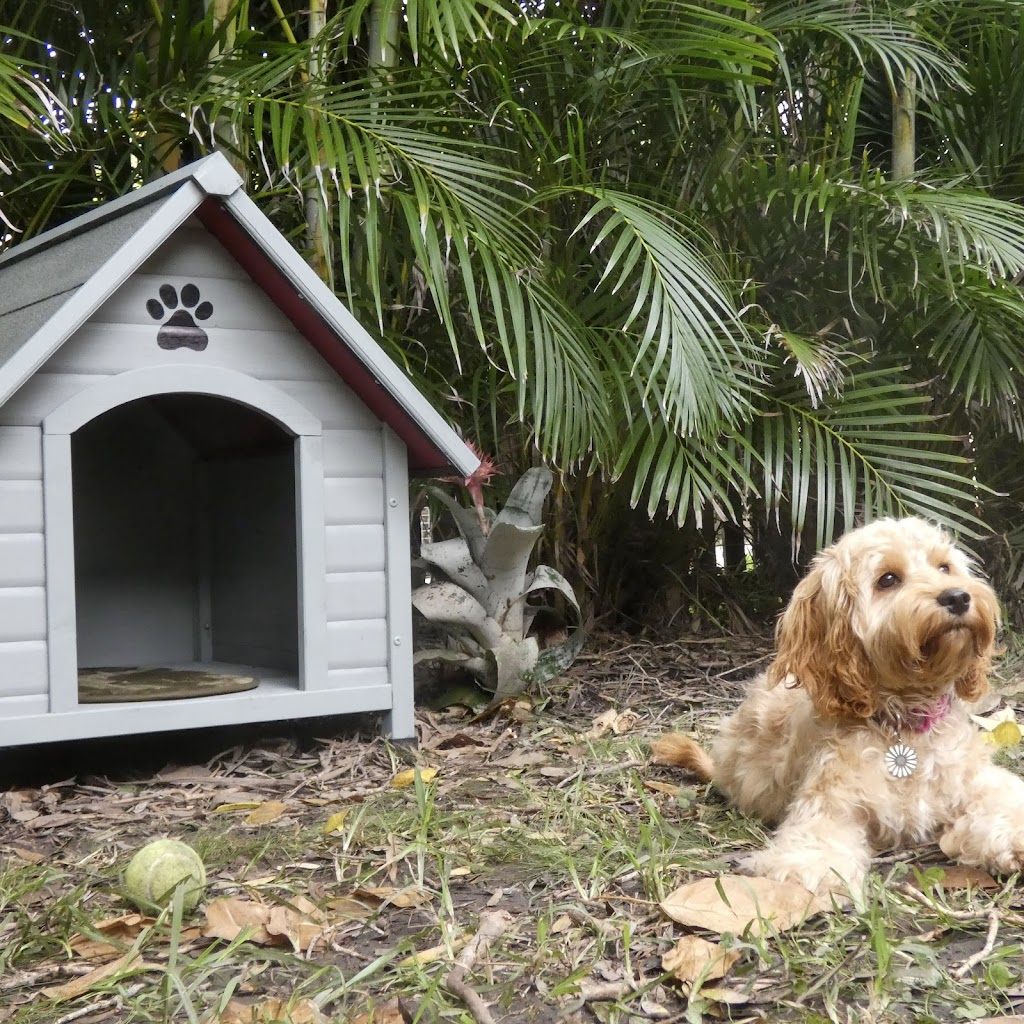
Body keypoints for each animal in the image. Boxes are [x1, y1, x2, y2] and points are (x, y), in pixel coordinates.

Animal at [651, 520, 1019, 897]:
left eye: (944, 567)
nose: (957, 596)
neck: (904, 724)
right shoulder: (830, 803)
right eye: (888, 579)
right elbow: (815, 842)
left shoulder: (976, 779)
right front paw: (808, 874)